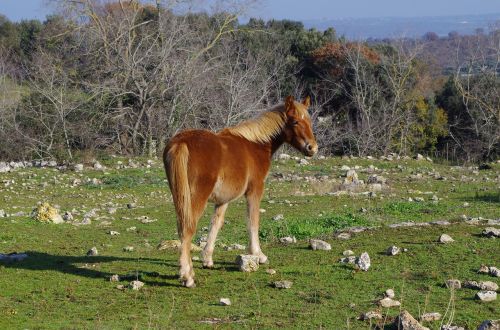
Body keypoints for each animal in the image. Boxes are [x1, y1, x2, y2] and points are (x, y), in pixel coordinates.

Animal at [166, 94, 318, 286]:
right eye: (295, 121)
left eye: (309, 121)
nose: (312, 148)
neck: (255, 144)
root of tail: (181, 142)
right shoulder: (255, 190)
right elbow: (253, 221)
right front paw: (258, 255)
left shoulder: (223, 199)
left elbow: (216, 223)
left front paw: (207, 259)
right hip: (196, 198)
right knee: (187, 228)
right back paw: (187, 276)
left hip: (179, 197)